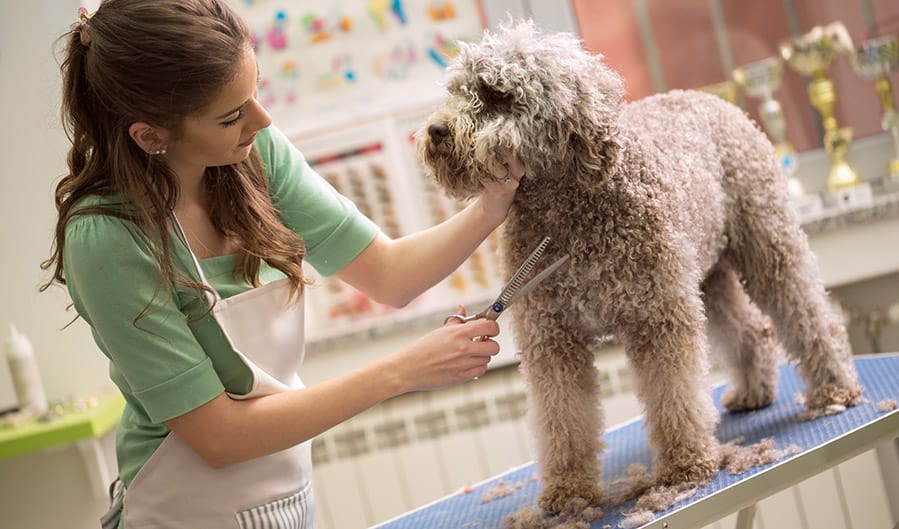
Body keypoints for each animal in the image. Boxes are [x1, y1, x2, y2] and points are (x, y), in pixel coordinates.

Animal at [414, 20, 864, 520]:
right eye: (455, 90)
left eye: (495, 94)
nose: (435, 131)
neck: (567, 214)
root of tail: (708, 99)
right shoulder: (551, 340)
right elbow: (562, 418)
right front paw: (569, 490)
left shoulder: (657, 317)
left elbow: (674, 394)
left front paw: (686, 465)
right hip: (706, 279)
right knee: (750, 330)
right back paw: (753, 392)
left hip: (767, 248)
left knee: (808, 316)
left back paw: (834, 389)